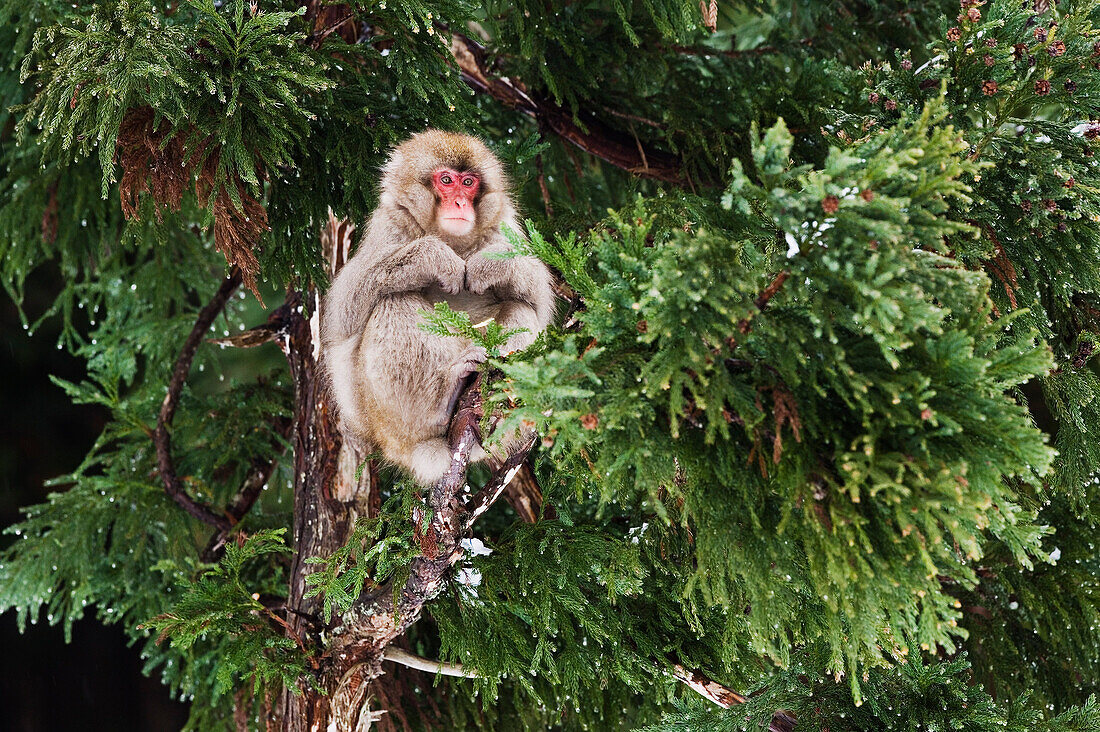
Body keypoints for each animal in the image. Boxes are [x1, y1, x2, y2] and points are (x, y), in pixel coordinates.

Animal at [321, 131, 554, 484]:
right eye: (446, 180)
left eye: (468, 182)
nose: (459, 203)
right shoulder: (389, 225)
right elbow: (344, 311)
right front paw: (433, 258)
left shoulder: (504, 227)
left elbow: (541, 304)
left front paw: (491, 265)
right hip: (382, 419)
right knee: (393, 301)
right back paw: (443, 403)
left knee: (522, 307)